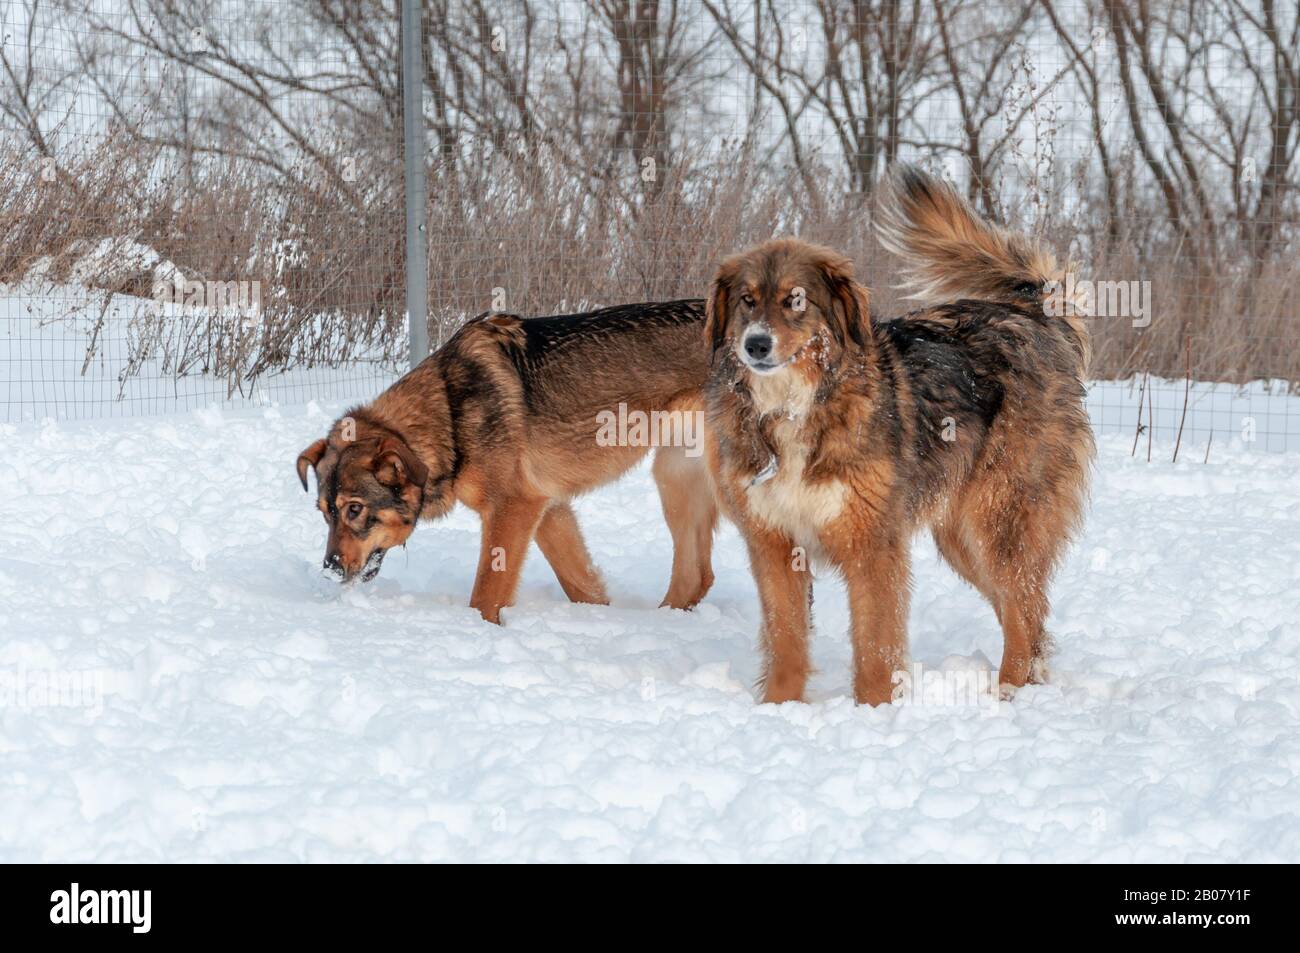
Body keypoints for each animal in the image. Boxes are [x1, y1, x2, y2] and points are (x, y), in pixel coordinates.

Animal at [297, 299, 717, 624]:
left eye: (354, 509)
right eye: (325, 513)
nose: (329, 569)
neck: (449, 413)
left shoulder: (512, 509)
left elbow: (485, 595)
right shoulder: (548, 510)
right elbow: (582, 585)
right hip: (673, 480)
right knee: (696, 577)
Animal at [707, 163, 1092, 702]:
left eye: (795, 301)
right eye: (746, 301)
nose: (755, 345)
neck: (795, 407)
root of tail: (1034, 316)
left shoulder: (874, 544)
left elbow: (875, 644)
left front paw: (874, 711)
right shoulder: (775, 543)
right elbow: (787, 639)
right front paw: (778, 707)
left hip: (1001, 522)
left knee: (1023, 610)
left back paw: (1006, 695)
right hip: (963, 538)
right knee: (1028, 613)